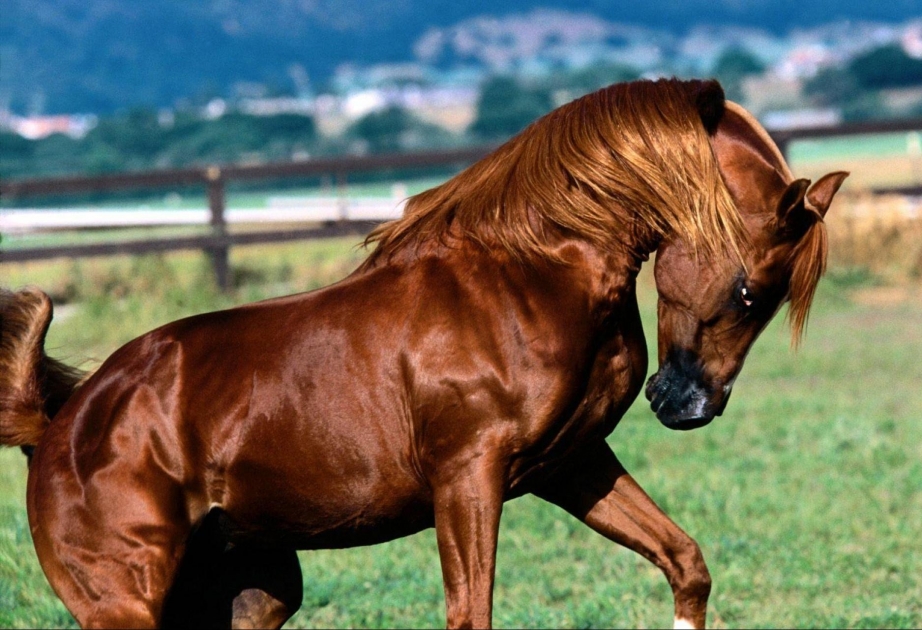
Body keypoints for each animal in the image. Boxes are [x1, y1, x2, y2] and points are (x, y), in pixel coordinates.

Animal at [0, 78, 847, 629]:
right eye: (750, 290)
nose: (688, 405)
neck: (528, 274)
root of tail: (60, 424)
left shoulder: (571, 464)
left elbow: (685, 561)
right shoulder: (467, 478)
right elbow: (471, 613)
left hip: (255, 593)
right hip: (128, 604)